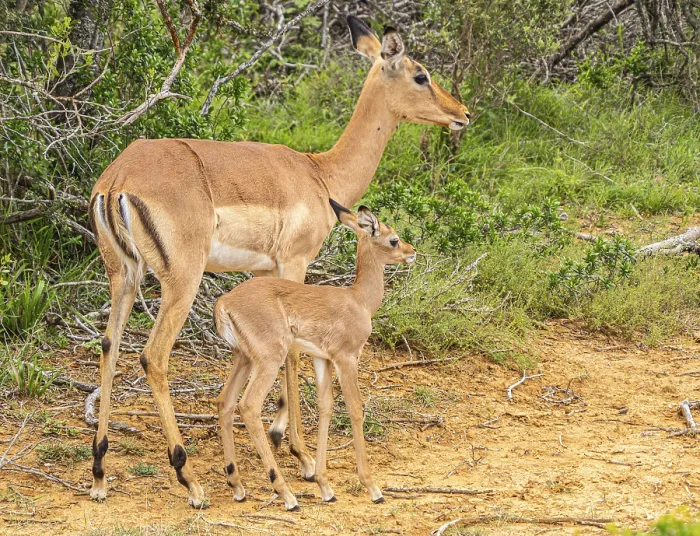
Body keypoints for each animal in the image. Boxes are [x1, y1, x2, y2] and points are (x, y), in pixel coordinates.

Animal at [214, 201, 415, 510]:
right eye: (393, 239)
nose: (411, 251)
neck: (359, 301)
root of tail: (224, 302)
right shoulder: (347, 358)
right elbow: (355, 407)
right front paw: (372, 487)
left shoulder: (323, 359)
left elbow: (325, 406)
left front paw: (325, 485)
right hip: (269, 360)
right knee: (248, 405)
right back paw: (287, 495)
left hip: (243, 358)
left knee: (224, 401)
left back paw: (237, 486)